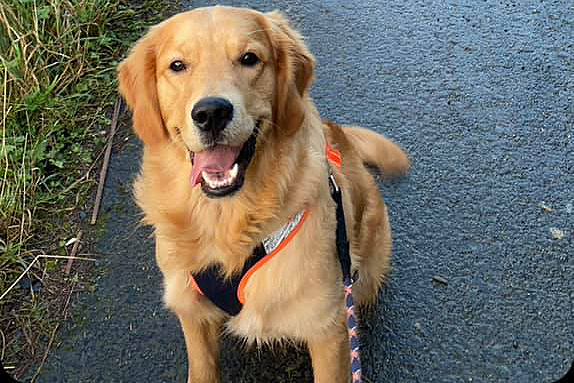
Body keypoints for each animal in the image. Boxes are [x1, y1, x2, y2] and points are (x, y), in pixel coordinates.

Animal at [119, 6, 412, 383]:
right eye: (178, 65)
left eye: (249, 59)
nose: (211, 113)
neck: (228, 222)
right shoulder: (191, 309)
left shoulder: (327, 327)